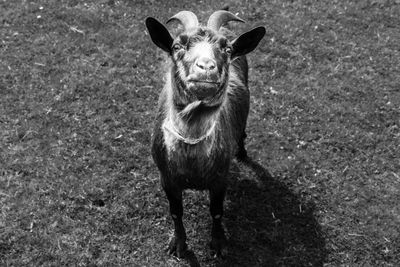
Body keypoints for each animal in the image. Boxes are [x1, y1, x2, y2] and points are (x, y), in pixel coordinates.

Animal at [145, 9, 266, 258]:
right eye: (177, 46)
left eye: (227, 49)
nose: (206, 67)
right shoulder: (167, 178)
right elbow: (175, 212)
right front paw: (178, 245)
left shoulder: (220, 179)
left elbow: (217, 212)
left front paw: (218, 244)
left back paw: (242, 153)